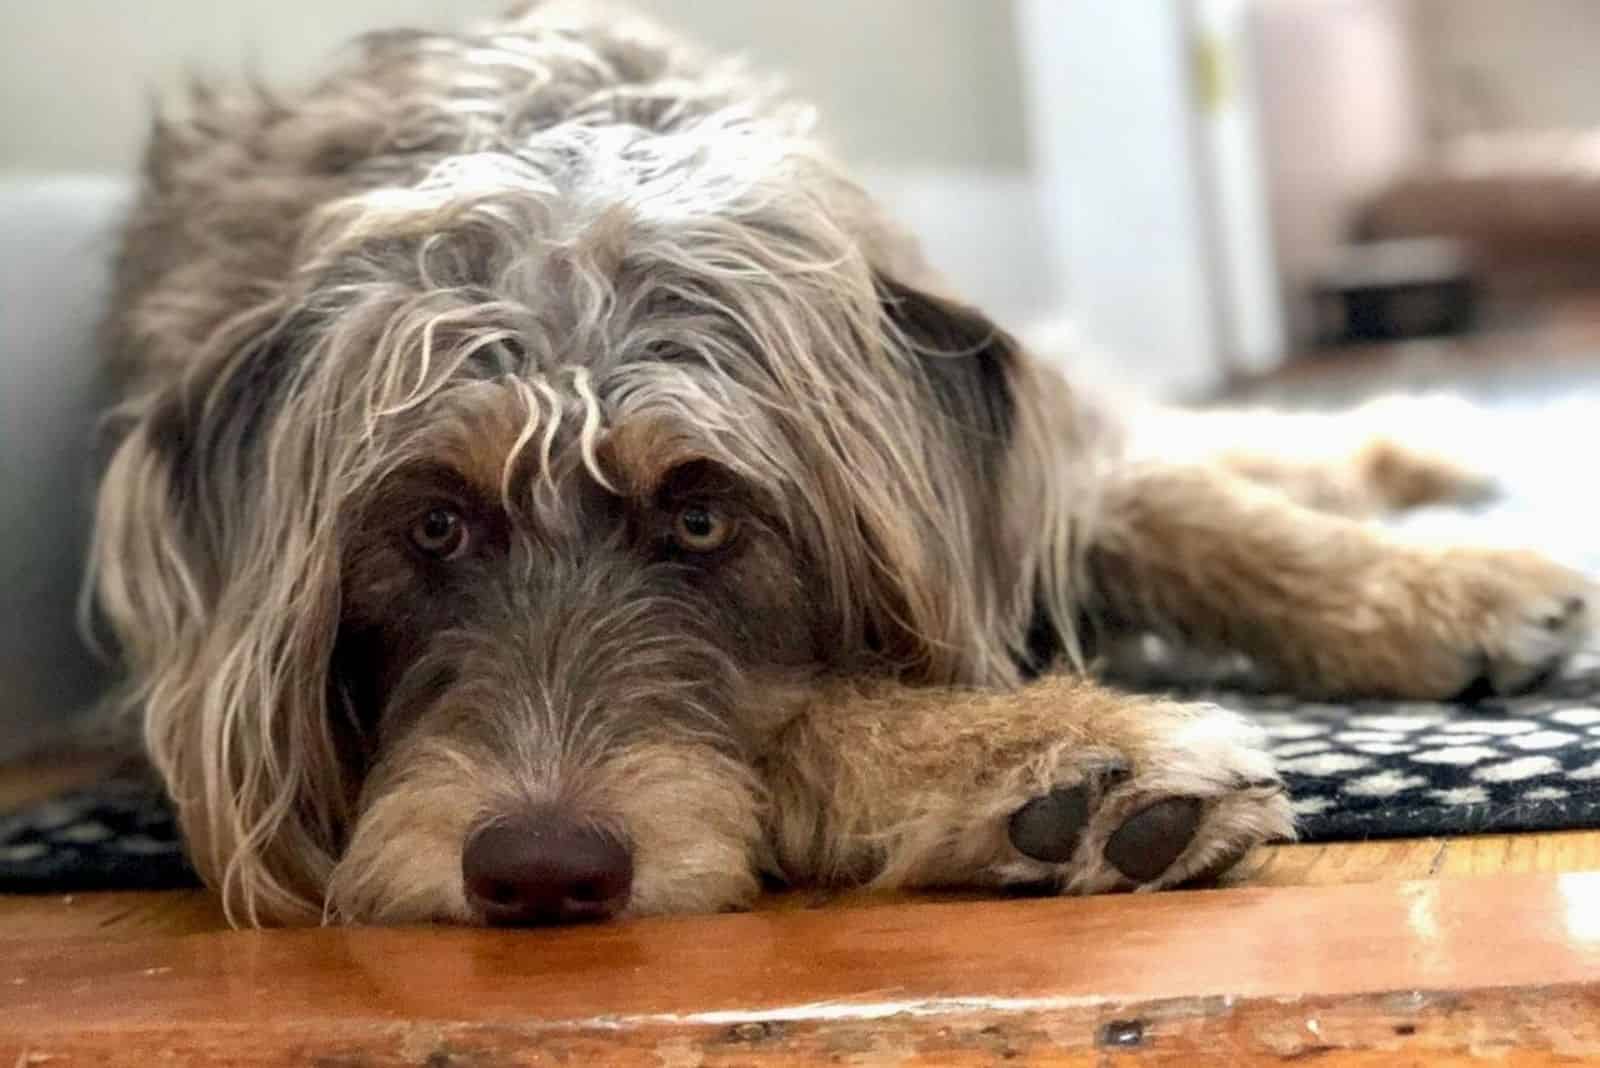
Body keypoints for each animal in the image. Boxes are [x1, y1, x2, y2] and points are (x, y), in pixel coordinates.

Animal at [93, 2, 1593, 927]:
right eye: (432, 530)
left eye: (704, 522)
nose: (538, 873)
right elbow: (799, 717)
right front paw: (1055, 762)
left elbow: (1172, 505)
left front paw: (1439, 591)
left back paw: (1419, 451)